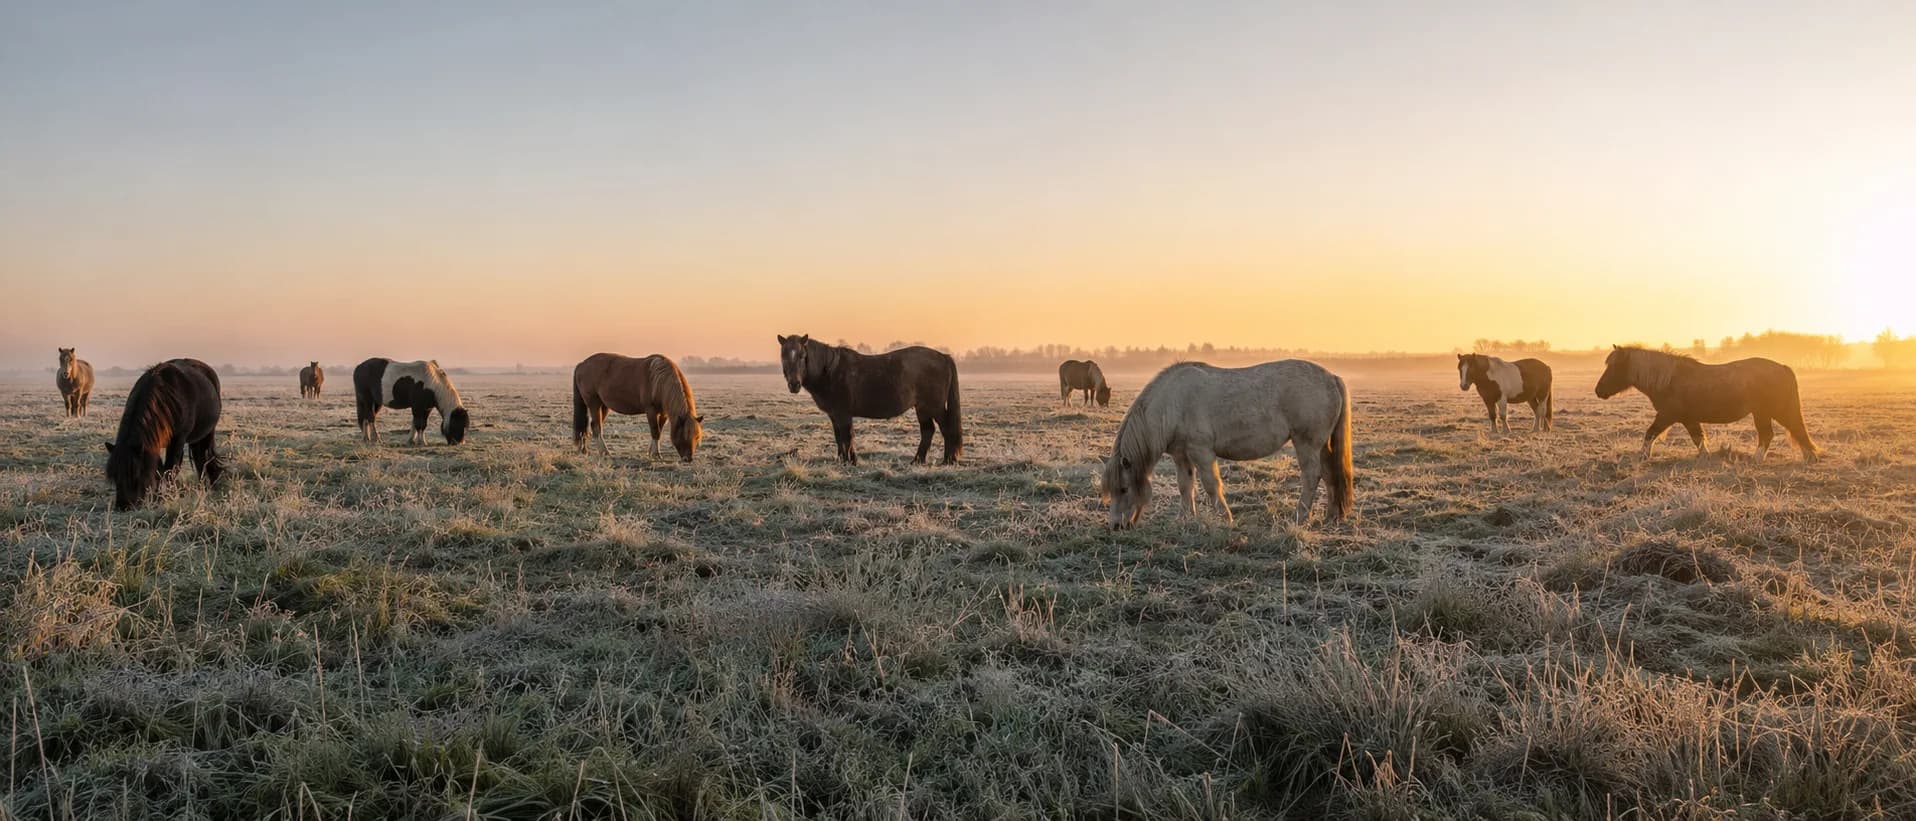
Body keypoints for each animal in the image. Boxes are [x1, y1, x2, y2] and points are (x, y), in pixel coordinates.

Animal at [103, 358, 224, 510]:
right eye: (114, 476)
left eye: (135, 473)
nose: (123, 506)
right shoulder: (153, 444)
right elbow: (158, 470)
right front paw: (156, 497)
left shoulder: (177, 440)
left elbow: (170, 468)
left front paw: (166, 497)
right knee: (199, 457)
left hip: (207, 433)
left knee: (203, 458)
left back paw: (208, 486)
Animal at [572, 353, 705, 461]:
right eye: (684, 435)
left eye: (697, 436)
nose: (688, 459)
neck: (658, 381)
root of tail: (581, 364)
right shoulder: (651, 411)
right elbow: (655, 431)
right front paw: (656, 455)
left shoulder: (663, 414)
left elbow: (659, 431)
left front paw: (651, 452)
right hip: (594, 403)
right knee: (596, 427)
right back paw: (604, 452)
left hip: (603, 406)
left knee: (590, 426)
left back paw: (584, 450)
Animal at [777, 334, 962, 465]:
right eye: (783, 356)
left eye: (802, 356)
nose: (794, 384)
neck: (830, 371)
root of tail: (943, 357)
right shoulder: (834, 415)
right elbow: (839, 437)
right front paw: (844, 459)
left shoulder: (843, 414)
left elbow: (847, 436)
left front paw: (849, 461)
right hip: (922, 408)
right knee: (928, 431)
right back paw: (918, 461)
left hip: (934, 407)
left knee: (946, 428)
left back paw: (948, 460)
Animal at [1100, 360, 1353, 528]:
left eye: (1124, 489)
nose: (1116, 526)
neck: (1171, 404)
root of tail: (1332, 377)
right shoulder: (1181, 455)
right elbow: (1185, 485)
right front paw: (1185, 518)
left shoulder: (1201, 451)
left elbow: (1211, 484)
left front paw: (1224, 517)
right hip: (1322, 446)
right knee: (1330, 475)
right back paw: (1332, 516)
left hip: (1306, 443)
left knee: (1312, 476)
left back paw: (1299, 516)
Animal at [1595, 345, 1818, 462]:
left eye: (1614, 367)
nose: (1598, 391)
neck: (1669, 380)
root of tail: (1782, 367)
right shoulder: (1688, 419)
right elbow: (1698, 439)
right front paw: (1706, 457)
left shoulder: (1667, 415)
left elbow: (1650, 433)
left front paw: (1643, 456)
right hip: (1764, 413)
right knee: (1782, 433)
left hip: (1770, 411)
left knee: (1779, 433)